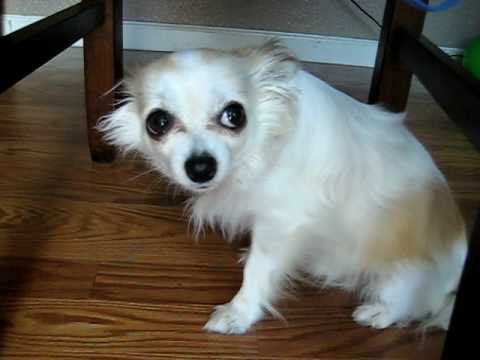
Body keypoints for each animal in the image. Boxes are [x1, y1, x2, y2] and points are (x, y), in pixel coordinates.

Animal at [100, 40, 464, 334]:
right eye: (157, 122)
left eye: (234, 115)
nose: (201, 166)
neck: (260, 149)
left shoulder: (283, 222)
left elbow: (258, 271)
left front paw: (239, 313)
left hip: (400, 272)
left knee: (410, 301)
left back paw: (381, 312)